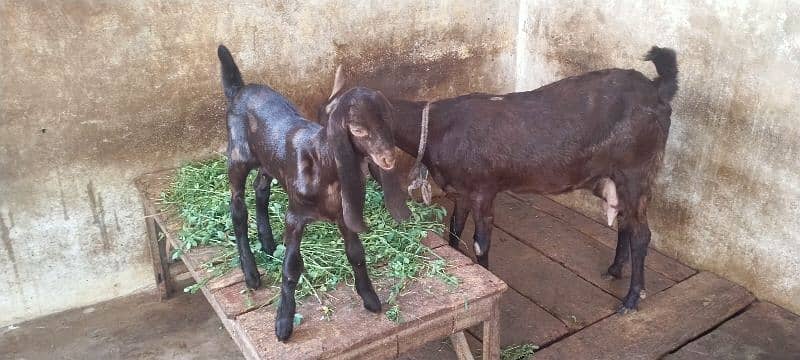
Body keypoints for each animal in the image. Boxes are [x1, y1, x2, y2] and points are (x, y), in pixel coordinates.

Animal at [322, 47, 680, 312]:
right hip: (616, 176)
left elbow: (481, 243)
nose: (324, 159)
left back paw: (631, 299)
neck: (438, 128)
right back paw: (614, 270)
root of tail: (657, 90)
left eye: (356, 128)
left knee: (642, 234)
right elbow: (454, 233)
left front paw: (488, 277)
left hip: (636, 171)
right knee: (625, 222)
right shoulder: (462, 192)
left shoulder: (484, 191)